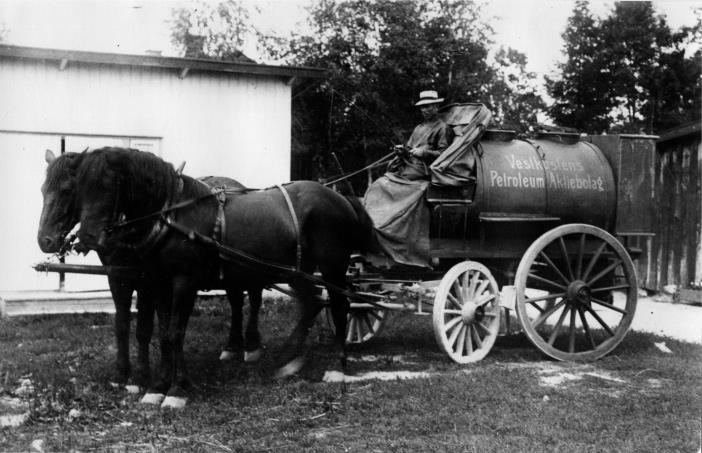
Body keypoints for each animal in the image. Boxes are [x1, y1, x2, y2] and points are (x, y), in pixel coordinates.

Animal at [37, 149, 264, 388]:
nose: (45, 241)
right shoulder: (118, 278)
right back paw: (232, 346)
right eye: (43, 190)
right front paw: (122, 373)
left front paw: (143, 376)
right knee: (236, 303)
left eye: (68, 190)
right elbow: (122, 325)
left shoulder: (146, 282)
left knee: (253, 299)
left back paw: (251, 345)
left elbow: (144, 329)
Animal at [69, 147, 376, 406]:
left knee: (340, 306)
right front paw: (158, 387)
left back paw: (336, 366)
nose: (87, 237)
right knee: (311, 303)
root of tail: (341, 198)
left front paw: (177, 389)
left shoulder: (185, 283)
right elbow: (165, 334)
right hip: (298, 270)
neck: (174, 216)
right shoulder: (160, 283)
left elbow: (175, 333)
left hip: (333, 268)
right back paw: (285, 358)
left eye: (108, 184)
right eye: (79, 187)